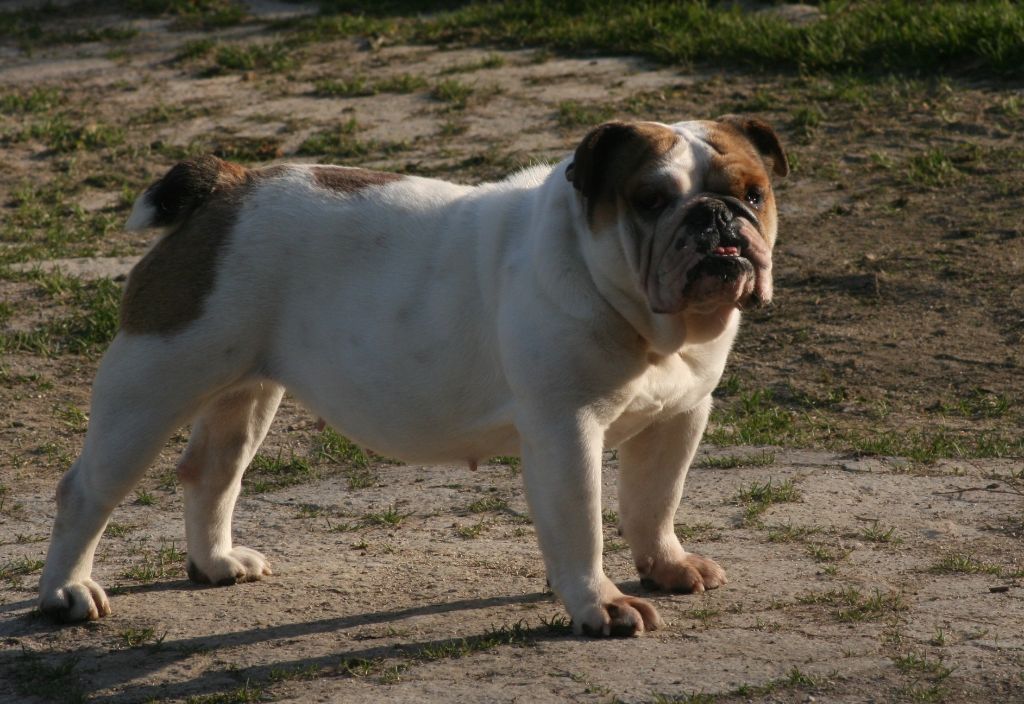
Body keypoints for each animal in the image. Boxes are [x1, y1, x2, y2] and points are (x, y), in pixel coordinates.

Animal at [37, 116, 782, 638]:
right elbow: (582, 528)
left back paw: (216, 563)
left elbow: (655, 503)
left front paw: (667, 567)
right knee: (86, 493)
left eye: (755, 193)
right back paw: (65, 594)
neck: (648, 322)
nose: (719, 216)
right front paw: (600, 605)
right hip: (150, 386)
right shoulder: (566, 431)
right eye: (650, 200)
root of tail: (225, 186)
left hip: (243, 392)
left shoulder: (682, 415)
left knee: (212, 473)